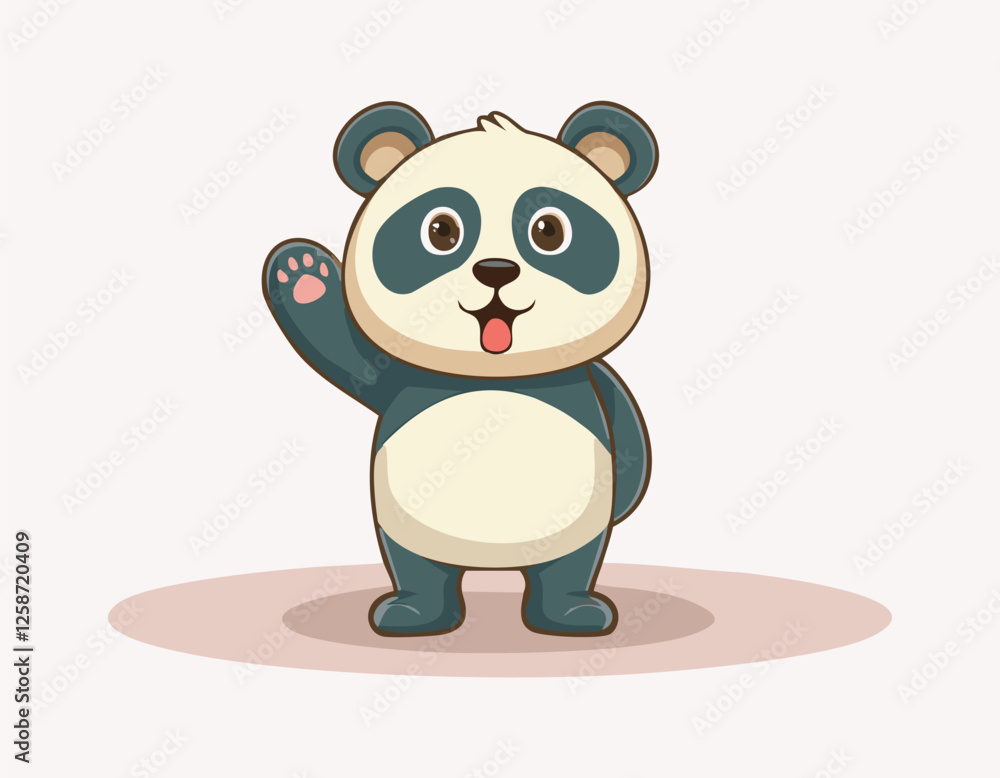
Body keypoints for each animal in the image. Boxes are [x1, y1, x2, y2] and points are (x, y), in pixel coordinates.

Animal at [262, 102, 657, 637]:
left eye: (549, 231)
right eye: (441, 231)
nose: (496, 270)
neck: (493, 375)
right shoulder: (402, 378)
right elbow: (357, 361)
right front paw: (304, 275)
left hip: (574, 527)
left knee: (569, 566)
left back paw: (572, 613)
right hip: (406, 526)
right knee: (418, 569)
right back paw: (414, 614)